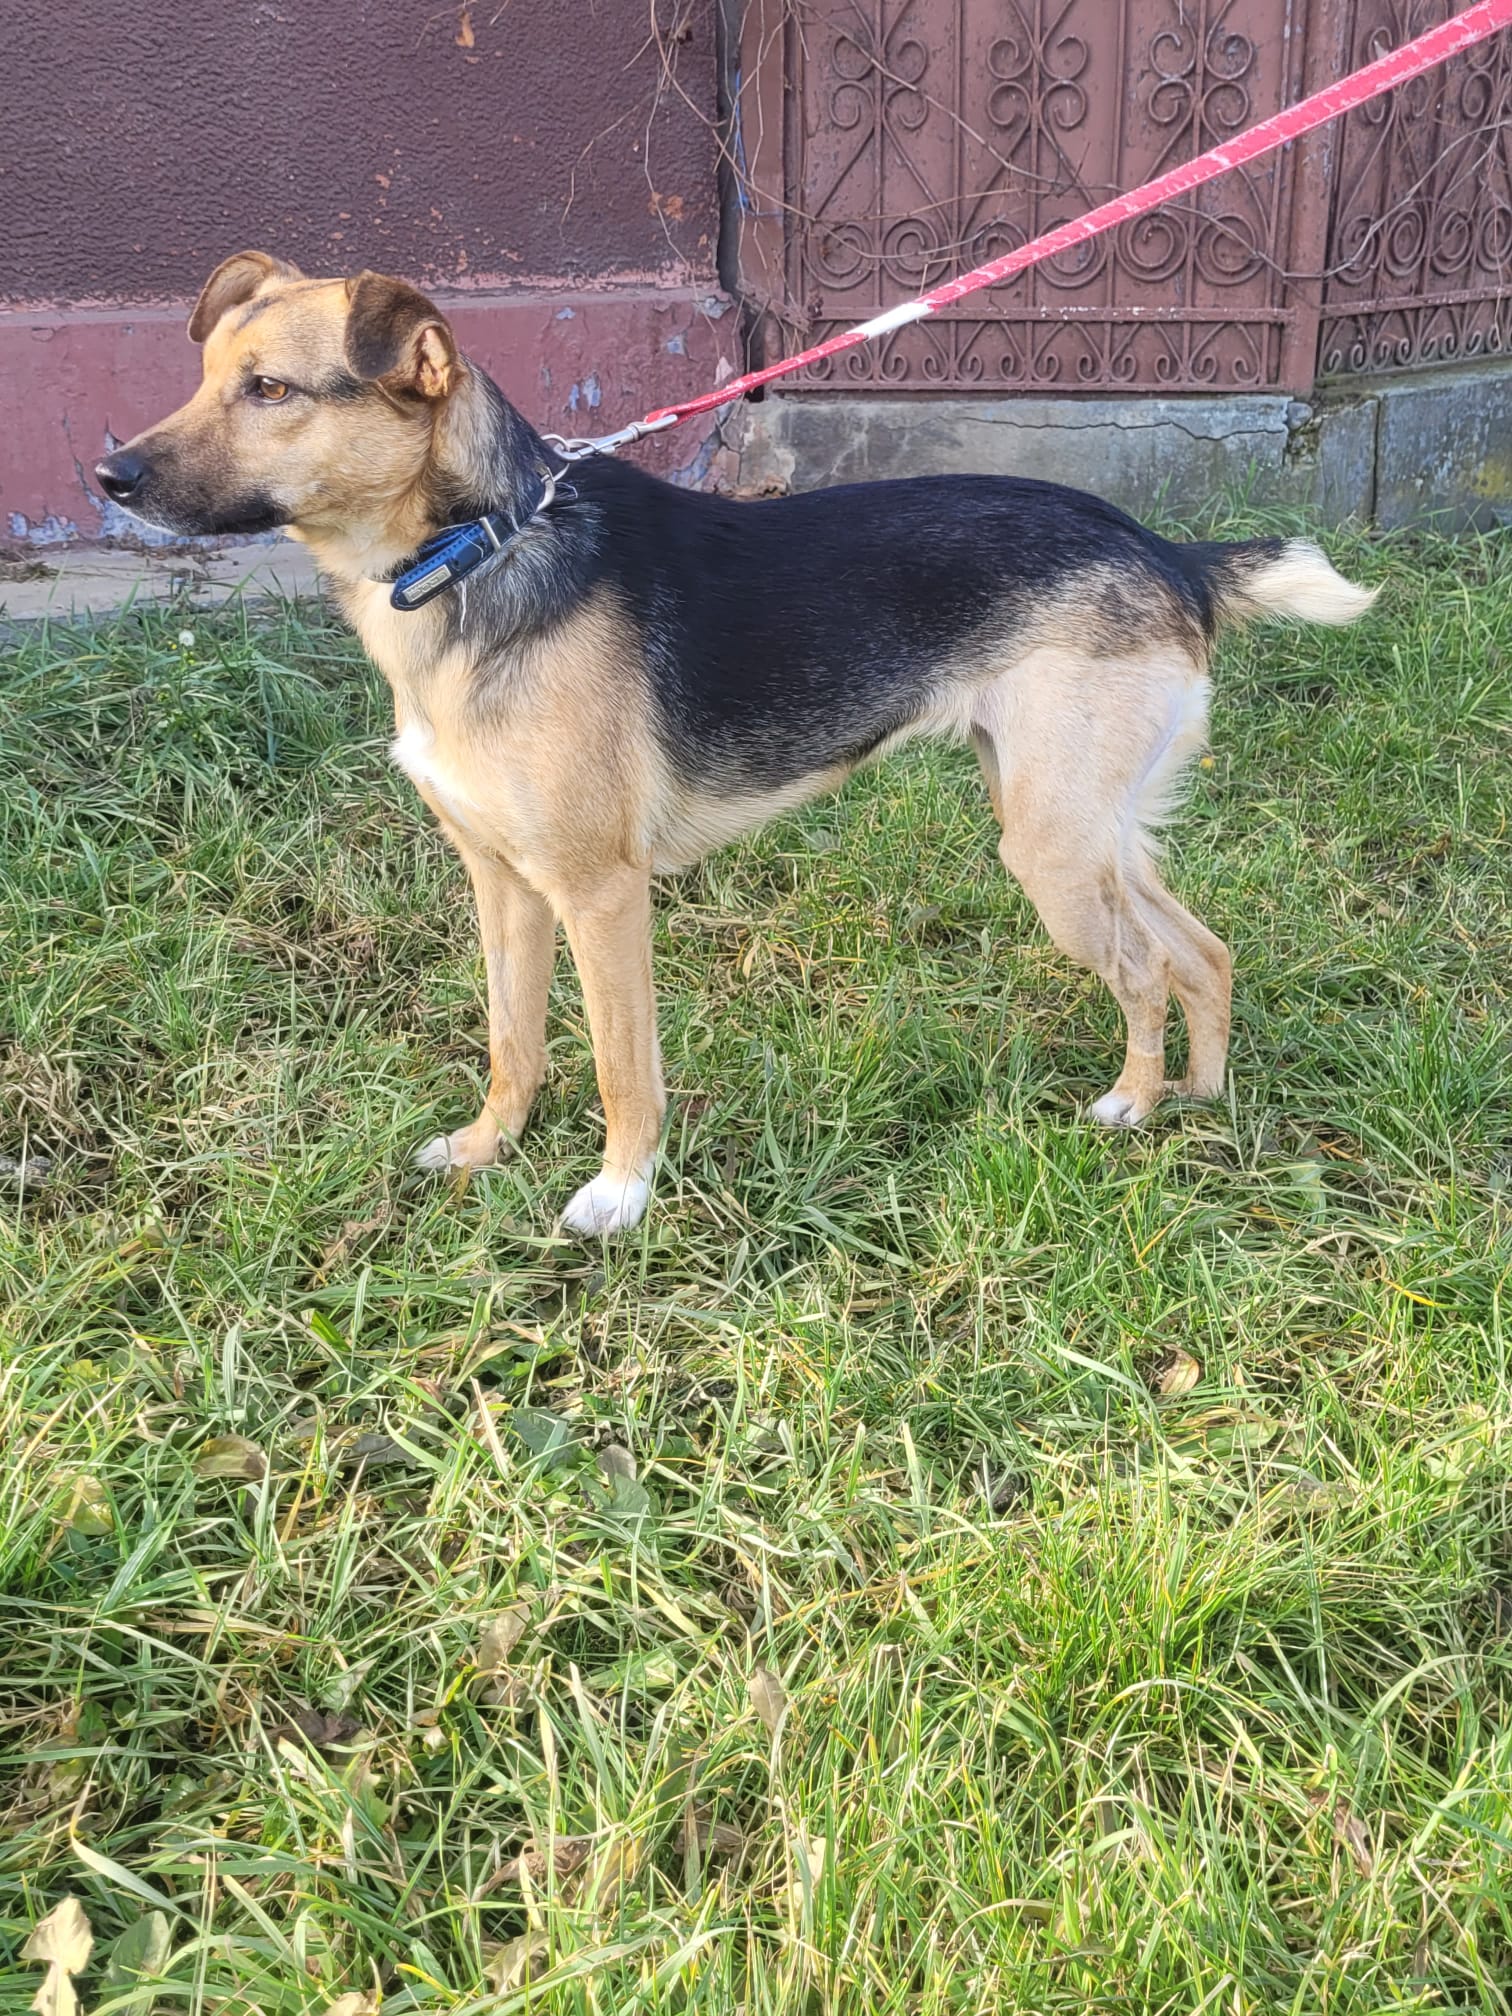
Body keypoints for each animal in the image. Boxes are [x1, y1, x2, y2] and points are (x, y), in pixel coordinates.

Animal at [96, 252, 1376, 1235]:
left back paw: (1135, 1106)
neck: (479, 549)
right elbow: (515, 1042)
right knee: (1202, 951)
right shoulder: (501, 882)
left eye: (270, 389)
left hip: (1051, 848)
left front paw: (618, 1196)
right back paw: (1203, 1101)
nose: (106, 474)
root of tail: (1165, 549)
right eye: (202, 377)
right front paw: (485, 1150)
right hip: (1082, 827)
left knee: (1149, 969)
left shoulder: (600, 895)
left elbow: (623, 1067)